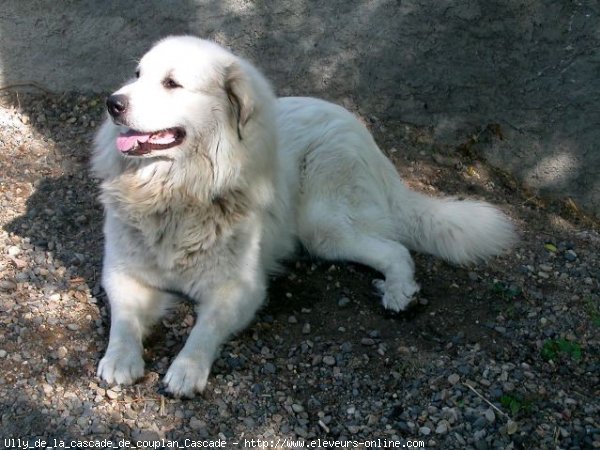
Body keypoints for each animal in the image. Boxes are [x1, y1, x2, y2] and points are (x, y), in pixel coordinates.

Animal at [92, 36, 516, 398]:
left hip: (322, 227)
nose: (113, 103)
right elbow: (123, 318)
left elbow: (204, 329)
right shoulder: (120, 271)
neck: (178, 192)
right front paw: (119, 359)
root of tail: (369, 141)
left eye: (171, 83)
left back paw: (398, 292)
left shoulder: (241, 287)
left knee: (396, 250)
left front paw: (186, 369)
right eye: (137, 75)